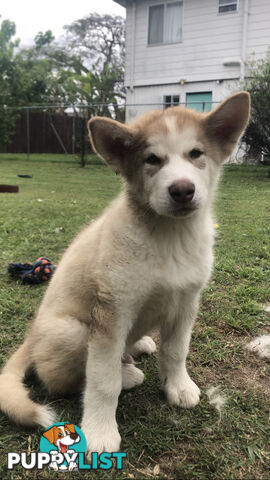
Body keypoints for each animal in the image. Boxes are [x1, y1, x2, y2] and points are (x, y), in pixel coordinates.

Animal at [0, 92, 250, 456]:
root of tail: (30, 337)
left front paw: (178, 386)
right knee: (61, 380)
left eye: (196, 154)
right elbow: (102, 380)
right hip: (74, 332)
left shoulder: (186, 301)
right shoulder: (112, 313)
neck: (169, 238)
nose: (182, 190)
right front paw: (100, 432)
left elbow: (176, 351)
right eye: (152, 159)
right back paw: (127, 375)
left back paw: (140, 346)